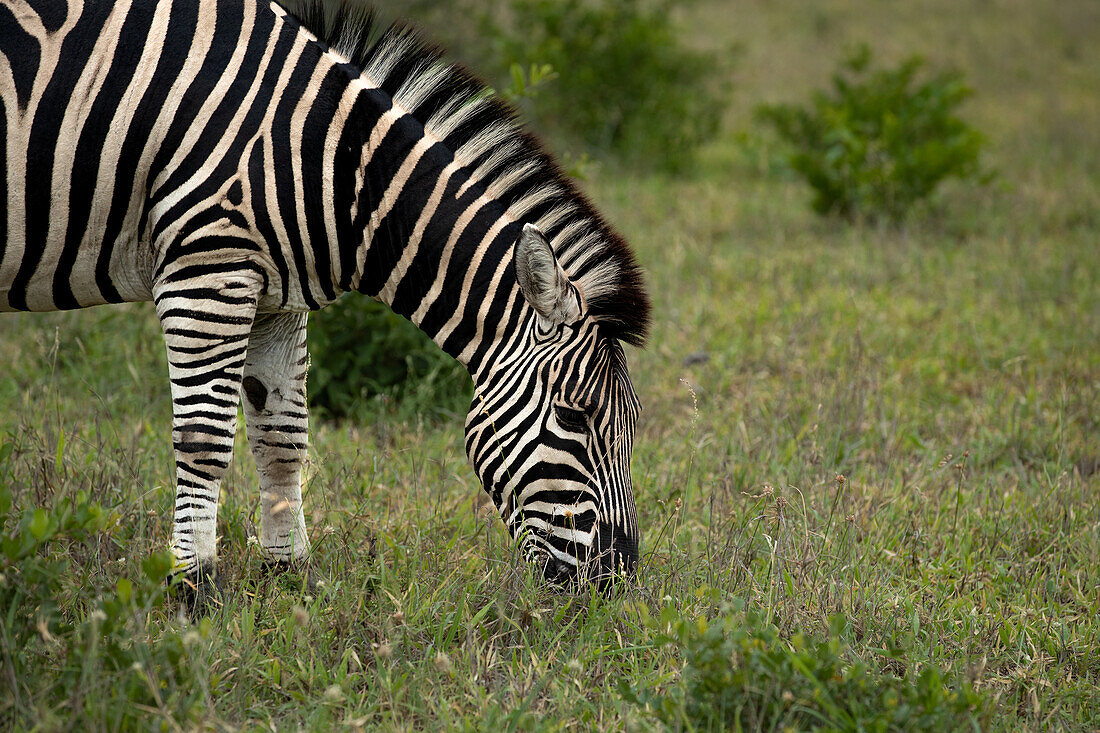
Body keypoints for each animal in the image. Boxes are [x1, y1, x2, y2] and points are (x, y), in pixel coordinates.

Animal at [0, 0, 646, 603]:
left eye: (631, 427)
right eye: (573, 417)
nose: (616, 580)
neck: (335, 164)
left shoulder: (275, 297)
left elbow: (283, 440)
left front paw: (288, 577)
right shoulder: (206, 270)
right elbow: (205, 440)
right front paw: (191, 590)